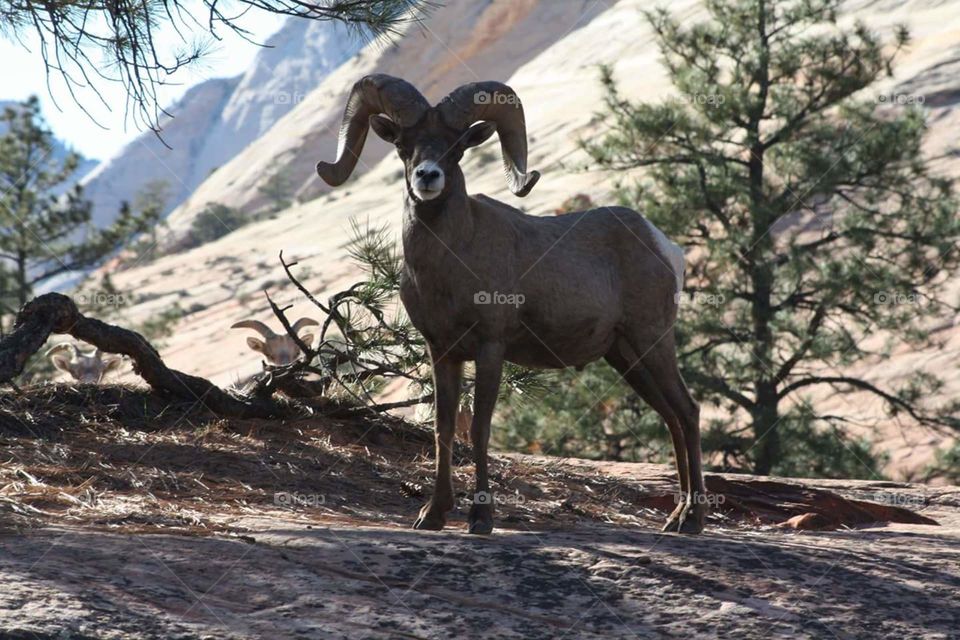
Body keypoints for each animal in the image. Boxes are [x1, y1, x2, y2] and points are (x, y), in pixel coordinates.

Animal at [316, 74, 706, 535]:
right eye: (404, 146)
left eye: (456, 146)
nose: (428, 177)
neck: (451, 260)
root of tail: (664, 246)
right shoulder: (442, 352)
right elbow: (443, 429)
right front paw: (432, 515)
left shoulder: (490, 348)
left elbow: (479, 430)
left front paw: (481, 518)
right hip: (627, 357)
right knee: (672, 417)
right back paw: (675, 519)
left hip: (652, 342)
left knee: (688, 412)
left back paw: (693, 520)